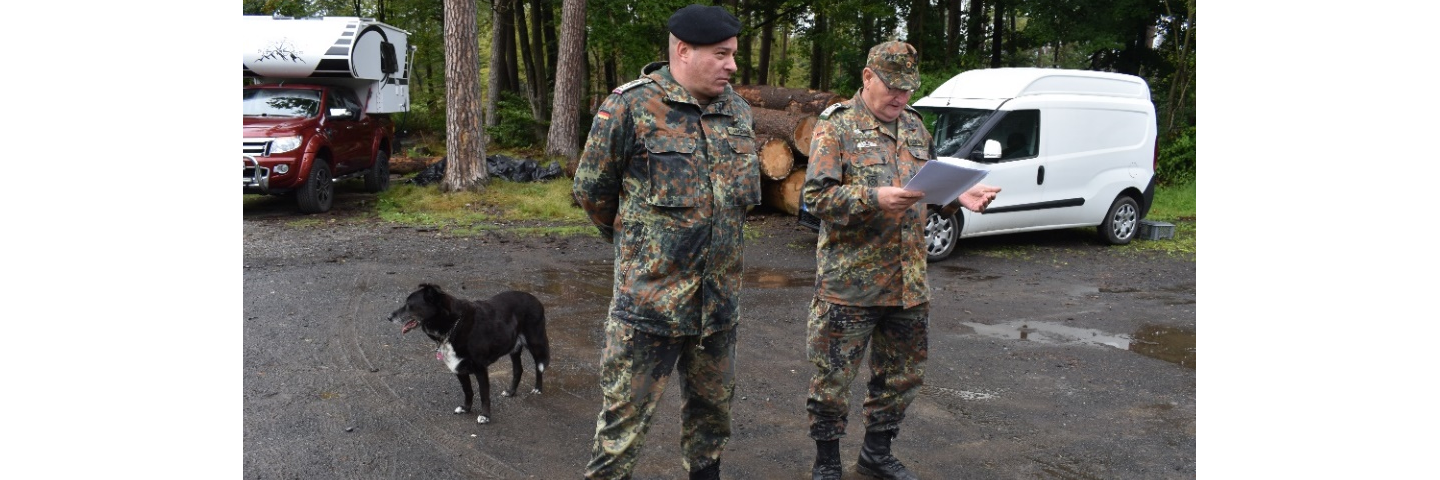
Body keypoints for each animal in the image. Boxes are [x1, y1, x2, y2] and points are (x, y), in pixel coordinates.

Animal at [385, 282, 547, 423]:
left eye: (409, 305)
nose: (388, 317)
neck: (453, 326)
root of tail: (535, 299)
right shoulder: (459, 368)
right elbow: (468, 391)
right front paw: (466, 408)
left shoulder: (480, 369)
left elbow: (484, 394)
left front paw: (485, 416)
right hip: (514, 348)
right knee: (518, 369)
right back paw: (511, 391)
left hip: (536, 343)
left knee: (539, 366)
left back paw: (537, 389)